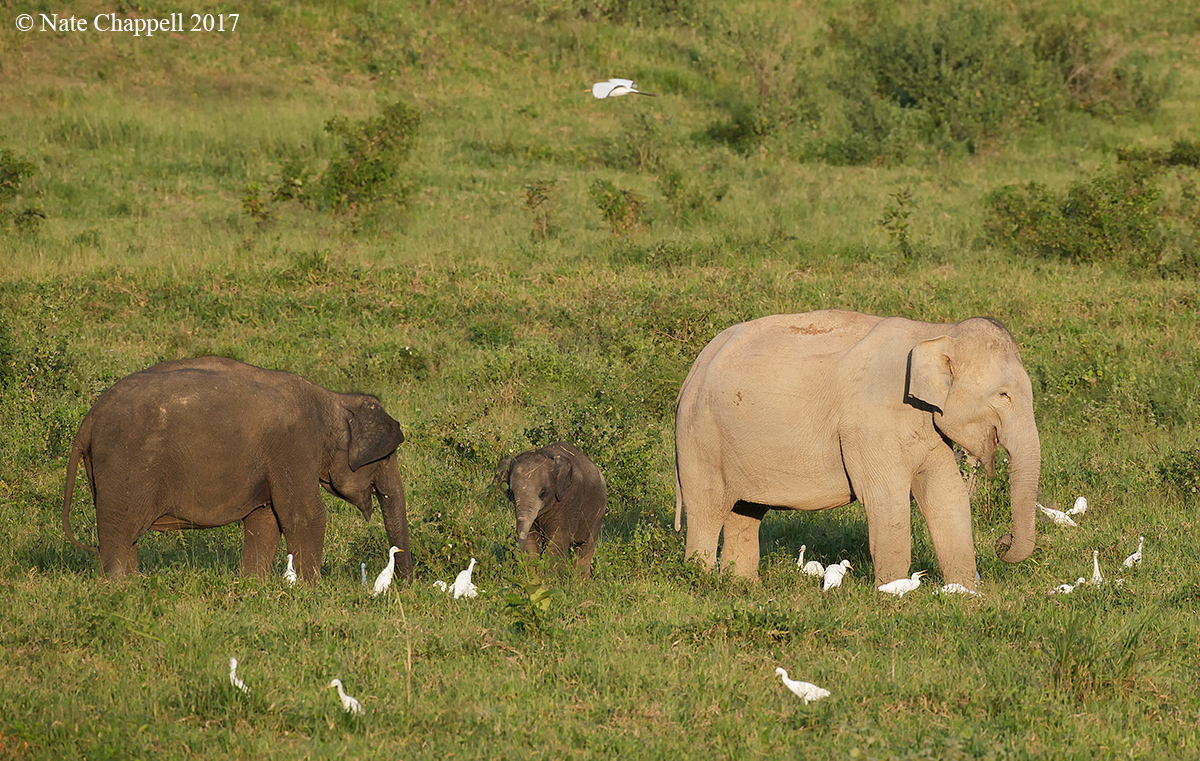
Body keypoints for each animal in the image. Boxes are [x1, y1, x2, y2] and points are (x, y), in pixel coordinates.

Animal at [61, 356, 412, 583]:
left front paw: (253, 587)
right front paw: (311, 590)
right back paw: (120, 588)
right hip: (124, 465)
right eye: (388, 456)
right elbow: (305, 515)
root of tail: (90, 417)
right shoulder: (293, 447)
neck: (333, 400)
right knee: (120, 533)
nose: (404, 587)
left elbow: (265, 519)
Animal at [495, 442, 607, 577]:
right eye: (511, 493)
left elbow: (558, 538)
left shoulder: (569, 498)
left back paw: (580, 580)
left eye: (543, 493)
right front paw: (533, 575)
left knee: (586, 548)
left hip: (597, 515)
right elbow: (531, 536)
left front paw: (551, 579)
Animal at [674, 310, 1041, 589]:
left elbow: (946, 493)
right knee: (707, 510)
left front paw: (963, 592)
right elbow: (885, 498)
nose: (1002, 543)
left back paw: (741, 586)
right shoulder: (869, 422)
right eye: (1004, 395)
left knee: (745, 512)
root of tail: (694, 368)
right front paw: (892, 592)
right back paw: (703, 581)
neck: (935, 332)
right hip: (699, 437)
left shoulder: (928, 425)